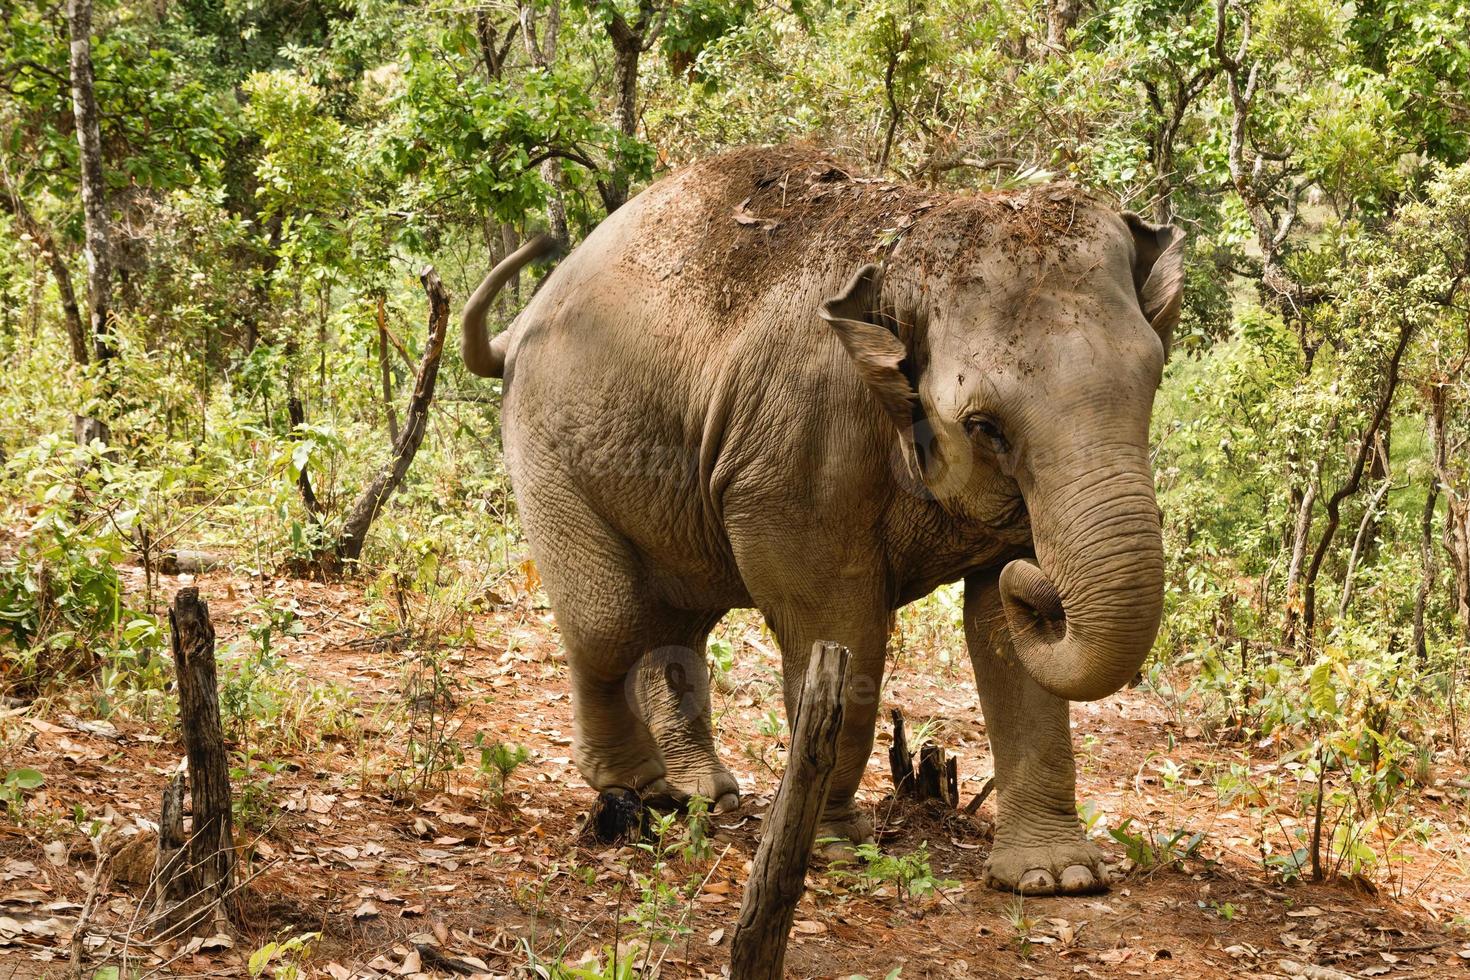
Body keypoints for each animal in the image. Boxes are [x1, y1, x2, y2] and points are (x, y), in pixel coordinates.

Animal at [464, 147, 1187, 899]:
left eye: (1152, 380)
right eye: (985, 427)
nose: (1042, 587)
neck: (907, 249)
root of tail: (523, 321)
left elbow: (999, 629)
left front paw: (1057, 877)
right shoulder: (798, 442)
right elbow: (839, 619)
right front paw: (835, 847)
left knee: (677, 619)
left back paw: (702, 795)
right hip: (548, 448)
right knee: (611, 619)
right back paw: (634, 787)